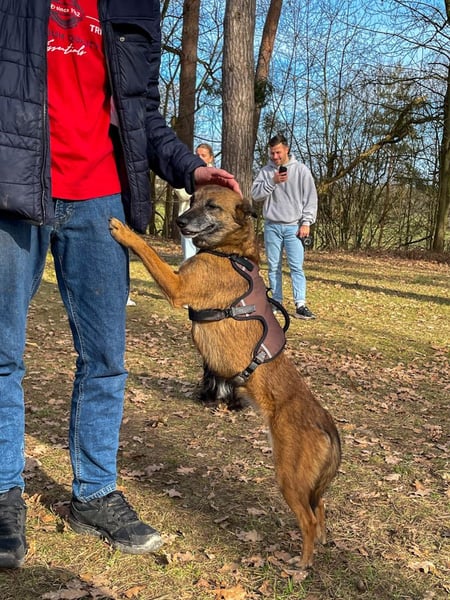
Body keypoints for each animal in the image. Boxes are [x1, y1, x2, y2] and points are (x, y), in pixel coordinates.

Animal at [109, 185, 341, 569]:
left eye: (212, 206)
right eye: (194, 199)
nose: (179, 221)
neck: (230, 252)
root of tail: (325, 422)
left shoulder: (176, 286)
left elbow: (149, 252)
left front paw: (126, 232)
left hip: (289, 478)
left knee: (309, 519)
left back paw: (301, 565)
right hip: (307, 482)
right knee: (320, 509)